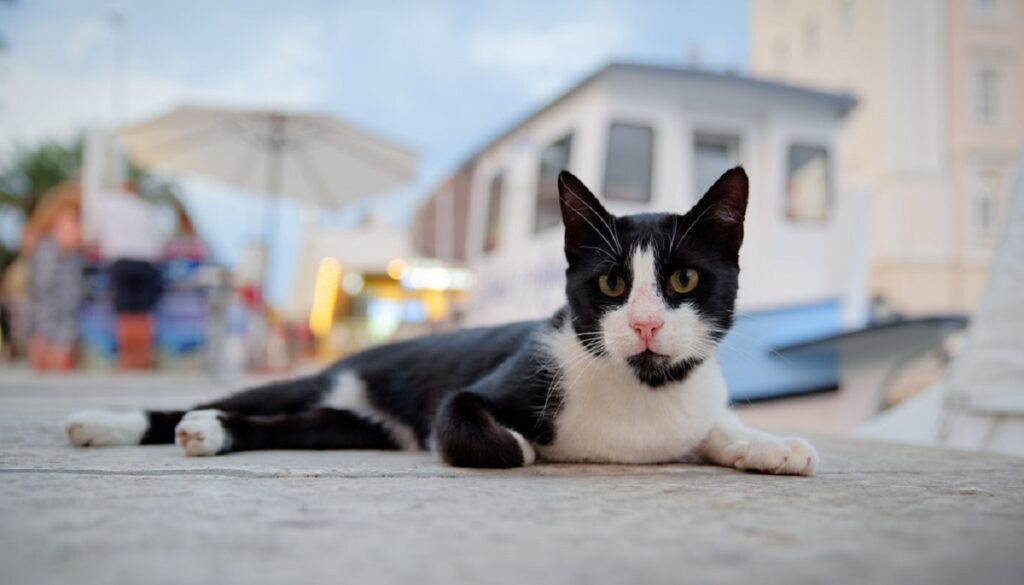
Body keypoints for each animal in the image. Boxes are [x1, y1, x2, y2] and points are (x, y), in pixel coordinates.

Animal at [64, 168, 815, 475]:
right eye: (612, 282)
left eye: (684, 279)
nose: (649, 327)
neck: (644, 391)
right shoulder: (482, 391)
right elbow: (473, 427)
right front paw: (520, 445)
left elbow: (719, 425)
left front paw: (773, 446)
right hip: (315, 381)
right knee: (216, 400)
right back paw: (109, 422)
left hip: (352, 427)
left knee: (279, 424)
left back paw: (213, 432)